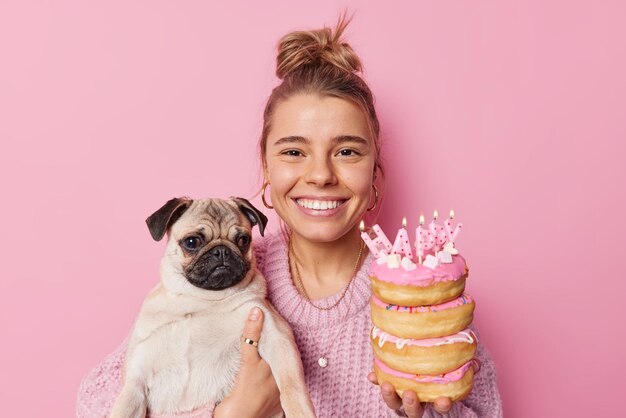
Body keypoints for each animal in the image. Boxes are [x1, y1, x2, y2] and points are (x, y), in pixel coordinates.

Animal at [108, 198, 316, 418]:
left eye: (243, 240)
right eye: (192, 242)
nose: (222, 250)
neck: (201, 301)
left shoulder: (276, 336)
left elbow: (291, 385)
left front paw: (300, 411)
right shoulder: (135, 382)